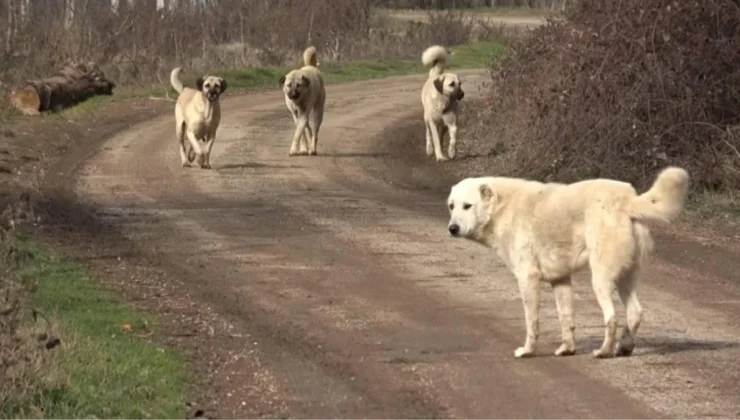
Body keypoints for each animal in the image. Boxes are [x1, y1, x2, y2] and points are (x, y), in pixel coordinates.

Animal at [446, 167, 692, 358]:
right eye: (451, 206)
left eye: (467, 206)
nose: (452, 229)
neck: (501, 208)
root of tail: (627, 199)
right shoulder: (561, 280)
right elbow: (566, 318)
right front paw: (567, 349)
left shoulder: (527, 279)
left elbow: (531, 321)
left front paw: (527, 351)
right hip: (625, 277)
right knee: (635, 312)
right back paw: (624, 347)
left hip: (601, 280)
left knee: (612, 317)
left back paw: (603, 352)